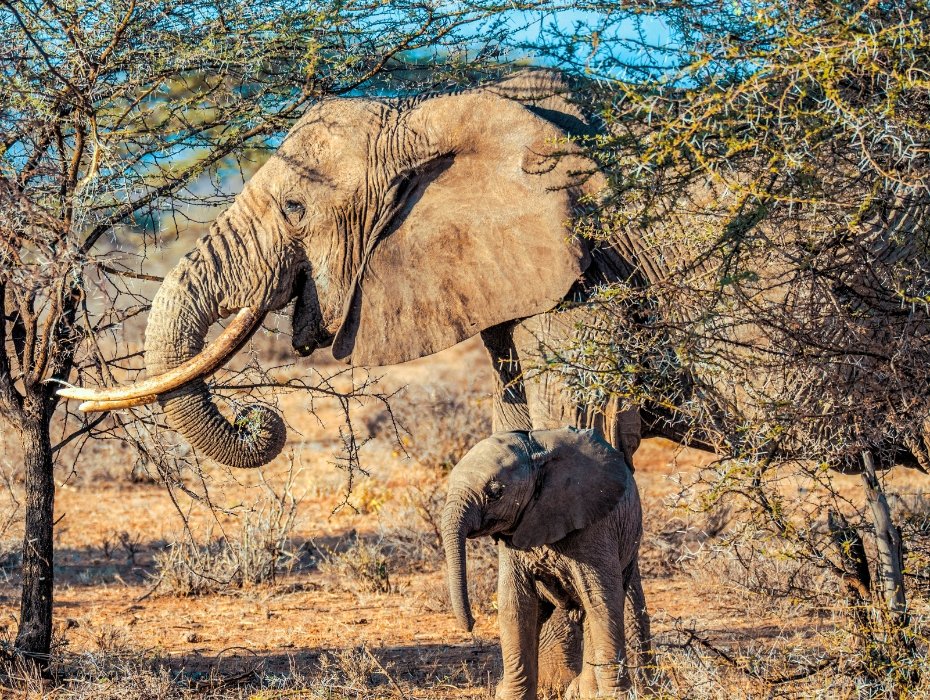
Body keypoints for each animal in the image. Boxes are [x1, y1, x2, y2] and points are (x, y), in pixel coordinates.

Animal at [441, 427, 653, 699]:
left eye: (496, 492)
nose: (471, 625)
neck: (535, 455)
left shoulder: (594, 525)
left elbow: (602, 599)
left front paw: (615, 696)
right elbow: (515, 604)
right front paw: (509, 696)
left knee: (595, 606)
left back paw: (586, 691)